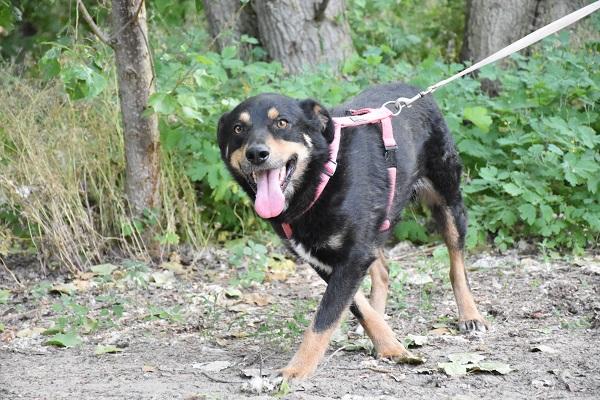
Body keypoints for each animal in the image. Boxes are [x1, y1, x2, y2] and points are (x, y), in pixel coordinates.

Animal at [217, 83, 487, 379]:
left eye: (282, 123)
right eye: (238, 129)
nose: (256, 153)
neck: (321, 177)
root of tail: (413, 88)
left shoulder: (353, 256)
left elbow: (323, 318)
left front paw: (297, 369)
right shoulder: (326, 260)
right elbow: (356, 305)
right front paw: (389, 345)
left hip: (448, 200)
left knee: (456, 263)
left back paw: (470, 315)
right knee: (382, 271)